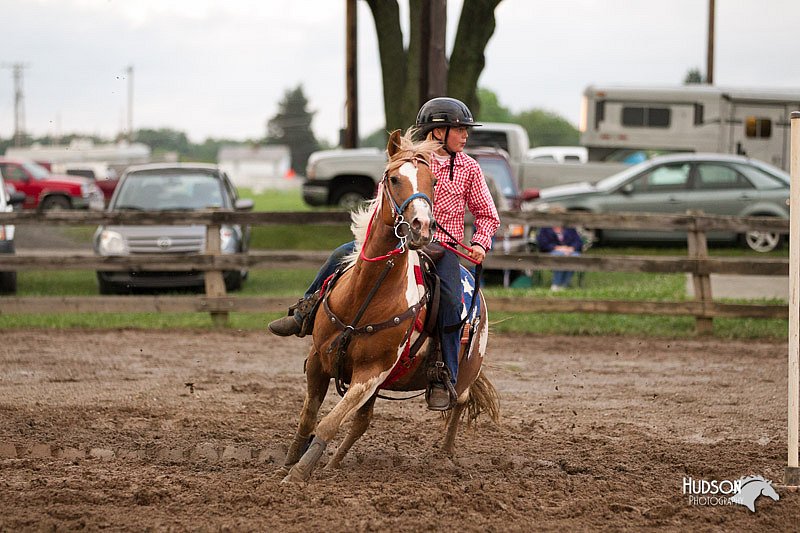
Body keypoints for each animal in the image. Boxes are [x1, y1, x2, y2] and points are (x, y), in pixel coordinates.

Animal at [282, 129, 500, 482]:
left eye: (433, 181)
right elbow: (309, 417)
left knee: (459, 403)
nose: (421, 227)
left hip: (466, 370)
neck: (365, 295)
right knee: (362, 422)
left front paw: (298, 473)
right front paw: (290, 462)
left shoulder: (371, 374)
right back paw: (333, 464)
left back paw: (445, 456)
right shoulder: (318, 360)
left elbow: (329, 422)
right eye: (394, 178)